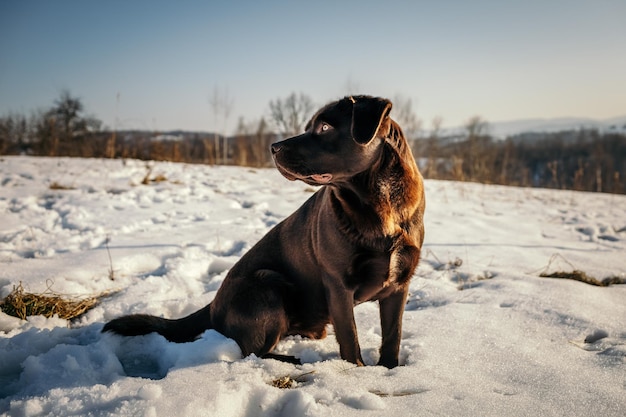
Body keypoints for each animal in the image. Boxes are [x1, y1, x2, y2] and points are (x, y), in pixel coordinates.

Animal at [103, 95, 424, 368]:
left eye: (324, 127)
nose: (274, 147)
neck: (380, 205)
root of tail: (213, 305)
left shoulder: (399, 285)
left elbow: (392, 335)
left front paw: (389, 369)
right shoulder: (338, 285)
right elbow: (350, 338)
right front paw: (356, 370)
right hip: (267, 283)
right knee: (252, 351)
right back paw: (291, 359)